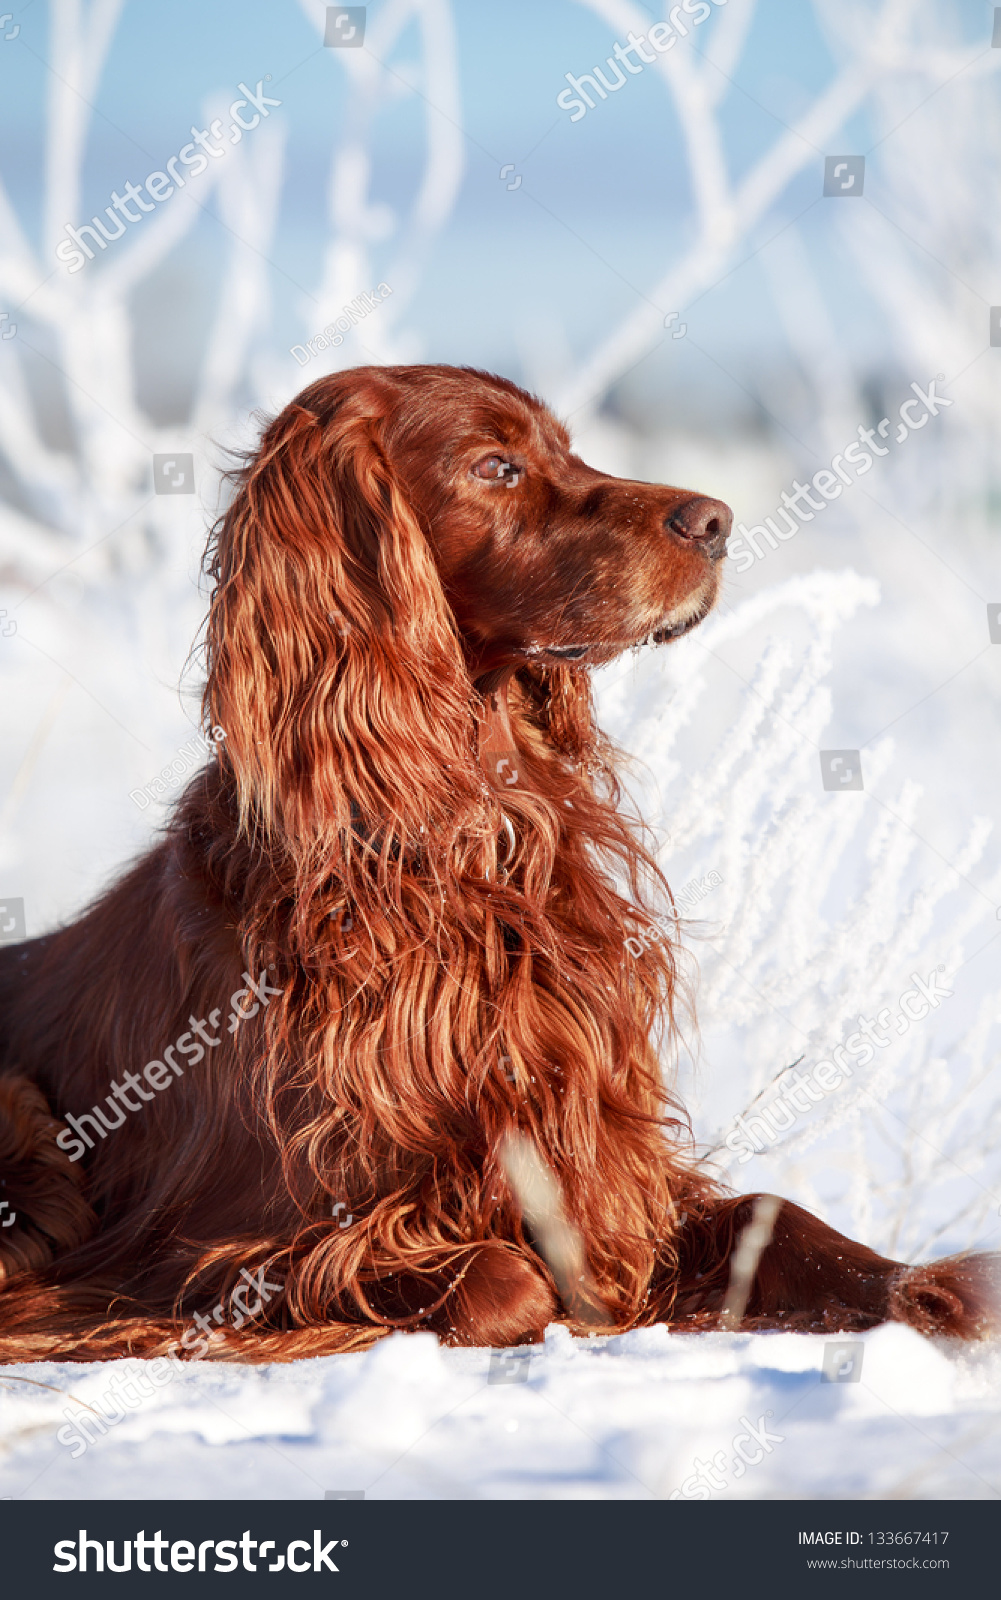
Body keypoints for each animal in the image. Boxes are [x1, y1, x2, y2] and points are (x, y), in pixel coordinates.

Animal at [0, 366, 991, 1363]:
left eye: (566, 450)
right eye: (494, 465)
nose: (715, 521)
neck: (466, 835)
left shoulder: (604, 1166)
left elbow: (769, 1212)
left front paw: (927, 1289)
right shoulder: (217, 1248)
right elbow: (499, 1282)